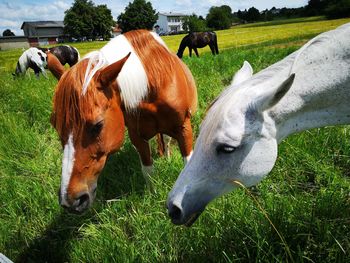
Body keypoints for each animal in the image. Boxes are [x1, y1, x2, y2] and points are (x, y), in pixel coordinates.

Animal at [47, 29, 198, 214]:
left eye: (97, 125)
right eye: (55, 125)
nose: (70, 201)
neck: (154, 81)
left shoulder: (184, 129)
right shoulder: (138, 138)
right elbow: (148, 170)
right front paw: (153, 196)